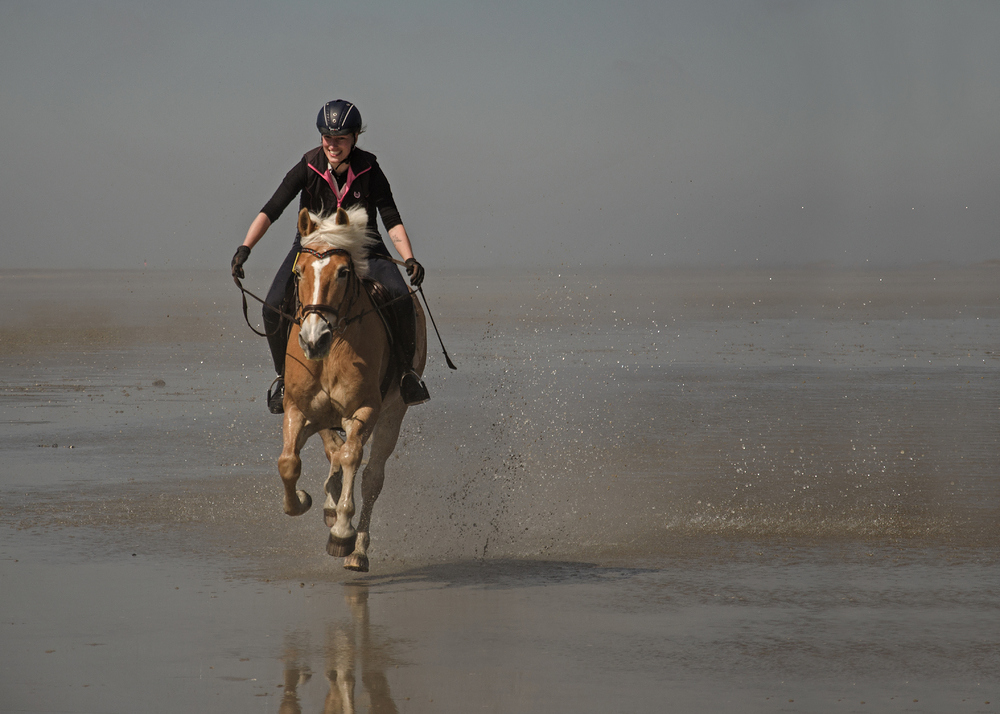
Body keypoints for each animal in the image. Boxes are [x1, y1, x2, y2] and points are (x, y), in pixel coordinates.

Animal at [278, 203, 426, 572]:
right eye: (298, 273)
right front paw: (301, 501)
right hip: (323, 418)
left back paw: (357, 551)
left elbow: (351, 458)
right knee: (333, 452)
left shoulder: (365, 410)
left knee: (371, 476)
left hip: (392, 414)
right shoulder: (297, 409)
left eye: (343, 272)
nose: (313, 340)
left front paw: (342, 532)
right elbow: (289, 462)